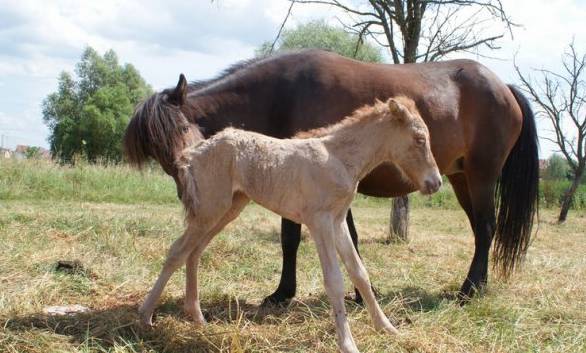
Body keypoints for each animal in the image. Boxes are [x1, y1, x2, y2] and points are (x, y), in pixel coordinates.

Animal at [124, 48, 540, 304]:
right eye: (157, 152)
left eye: (182, 130)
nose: (188, 191)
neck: (281, 96)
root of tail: (504, 87)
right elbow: (311, 240)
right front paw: (337, 294)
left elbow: (303, 238)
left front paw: (290, 294)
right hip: (460, 178)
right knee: (479, 230)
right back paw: (475, 285)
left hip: (482, 176)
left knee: (486, 227)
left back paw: (470, 290)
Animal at [139, 96, 440, 352]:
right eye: (419, 138)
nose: (435, 183)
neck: (339, 158)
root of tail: (193, 152)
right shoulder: (319, 221)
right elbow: (334, 280)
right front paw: (348, 344)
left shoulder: (338, 220)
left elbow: (359, 273)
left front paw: (387, 328)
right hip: (210, 209)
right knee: (177, 251)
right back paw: (145, 317)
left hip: (227, 208)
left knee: (195, 252)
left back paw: (197, 317)